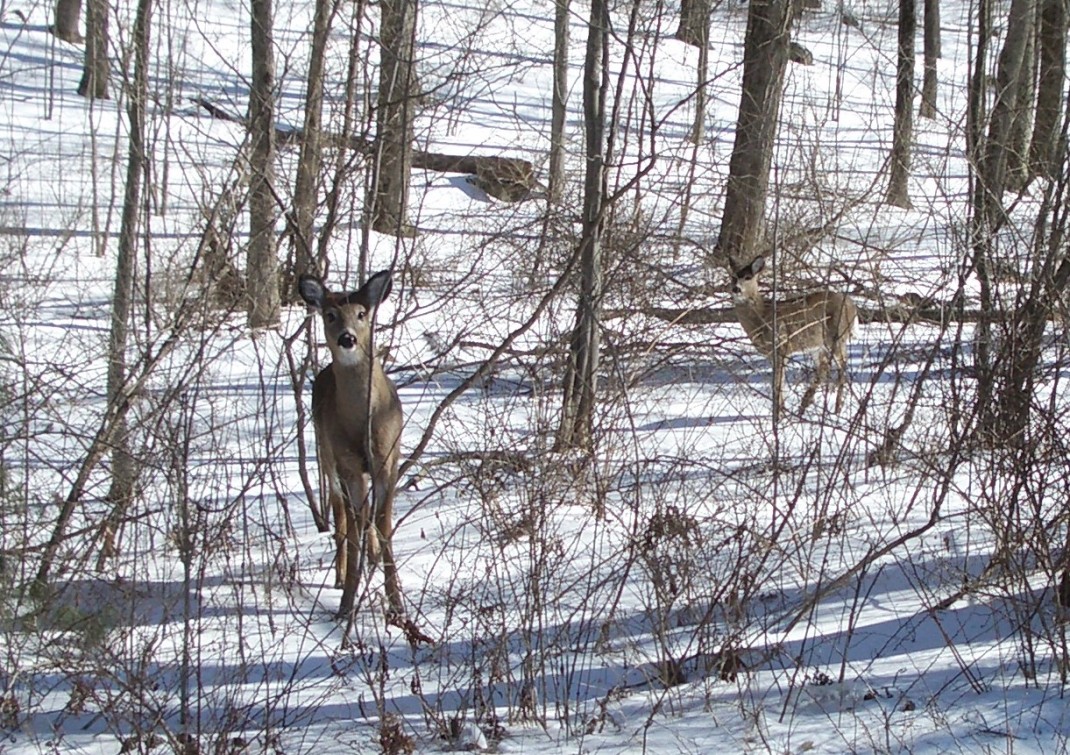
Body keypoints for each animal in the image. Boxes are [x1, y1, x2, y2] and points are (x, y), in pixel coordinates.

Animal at [297, 270, 404, 615]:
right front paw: (346, 603)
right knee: (342, 515)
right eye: (330, 315)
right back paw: (341, 576)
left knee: (362, 514)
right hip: (326, 455)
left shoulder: (388, 460)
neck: (362, 422)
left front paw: (396, 602)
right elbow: (355, 526)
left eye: (361, 314)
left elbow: (383, 524)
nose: (348, 339)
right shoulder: (347, 463)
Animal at [731, 254, 856, 417]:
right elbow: (779, 381)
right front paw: (782, 413)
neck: (762, 317)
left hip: (837, 335)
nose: (736, 289)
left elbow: (777, 383)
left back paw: (837, 409)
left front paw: (778, 416)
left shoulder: (781, 344)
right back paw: (804, 406)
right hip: (817, 344)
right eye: (733, 277)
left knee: (842, 364)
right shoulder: (773, 354)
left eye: (747, 277)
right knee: (824, 367)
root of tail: (853, 306)